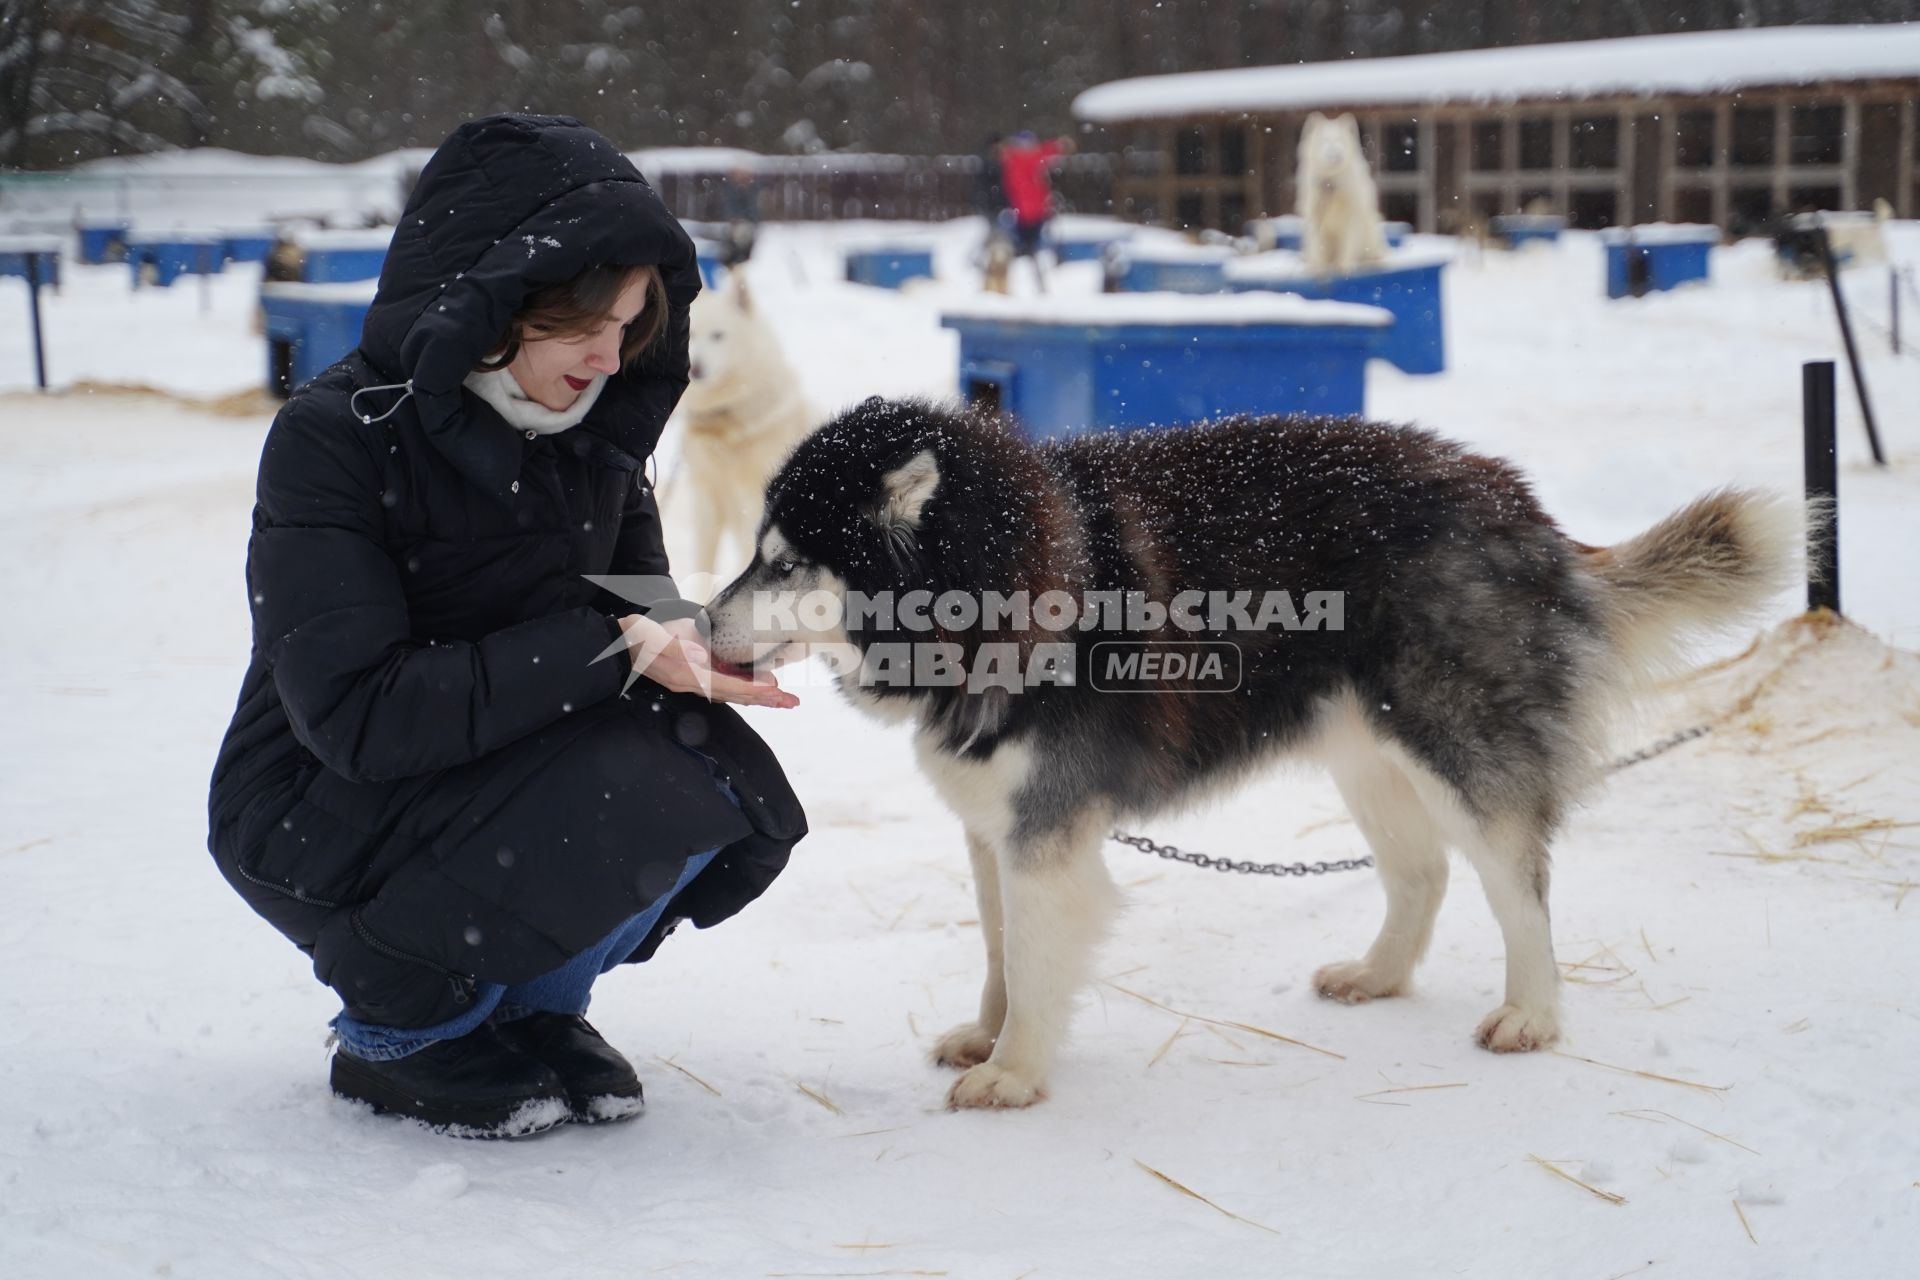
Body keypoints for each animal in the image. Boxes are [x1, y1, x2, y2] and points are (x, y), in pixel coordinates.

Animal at [664, 272, 814, 579]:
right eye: (692, 334)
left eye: (718, 336)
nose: (695, 368)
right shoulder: (706, 496)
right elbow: (703, 564)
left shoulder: (752, 502)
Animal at [706, 401, 1797, 1113]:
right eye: (758, 550)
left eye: (788, 561)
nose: (699, 619)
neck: (1007, 581)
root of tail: (1523, 506)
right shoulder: (994, 826)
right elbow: (999, 951)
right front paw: (990, 1029)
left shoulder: (1043, 835)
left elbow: (1037, 957)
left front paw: (1015, 1069)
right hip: (1367, 756)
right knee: (1422, 872)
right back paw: (1379, 975)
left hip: (1457, 748)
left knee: (1517, 882)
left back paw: (1531, 1013)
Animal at [1297, 113, 1390, 278]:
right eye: (1326, 141)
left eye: (1340, 140)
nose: (1337, 154)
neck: (1331, 185)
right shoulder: (1316, 218)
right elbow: (1319, 247)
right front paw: (1319, 269)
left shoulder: (1351, 217)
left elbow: (1347, 244)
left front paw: (1345, 266)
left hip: (1371, 229)